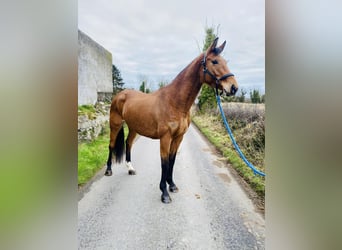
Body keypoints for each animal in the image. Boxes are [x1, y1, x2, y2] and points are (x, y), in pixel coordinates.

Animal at [104, 38, 238, 204]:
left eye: (225, 61)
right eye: (214, 61)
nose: (234, 87)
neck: (175, 102)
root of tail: (119, 95)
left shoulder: (178, 137)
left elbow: (172, 160)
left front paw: (172, 185)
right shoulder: (165, 138)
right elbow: (165, 162)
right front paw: (164, 193)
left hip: (134, 127)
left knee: (128, 143)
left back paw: (130, 168)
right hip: (115, 124)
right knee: (111, 145)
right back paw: (108, 170)